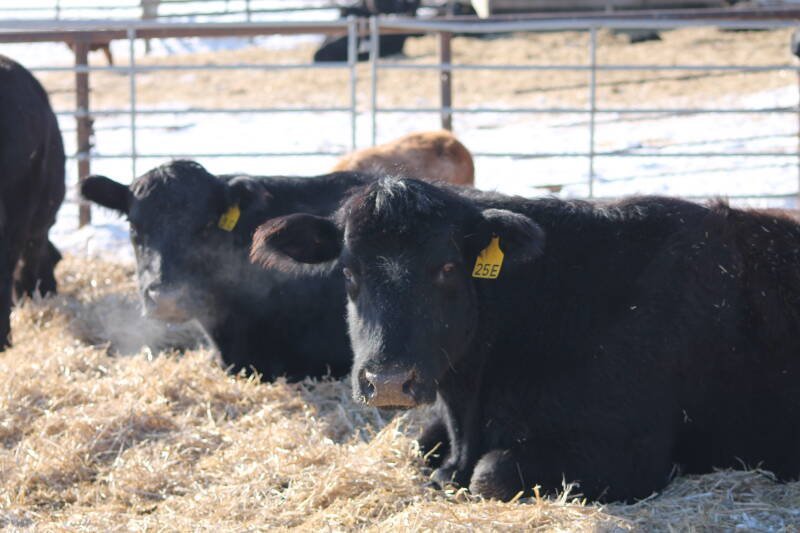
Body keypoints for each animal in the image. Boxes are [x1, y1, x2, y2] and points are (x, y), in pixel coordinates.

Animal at [250, 176, 800, 502]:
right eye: (348, 271)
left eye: (447, 268)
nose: (387, 381)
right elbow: (421, 448)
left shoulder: (633, 453)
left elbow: (488, 474)